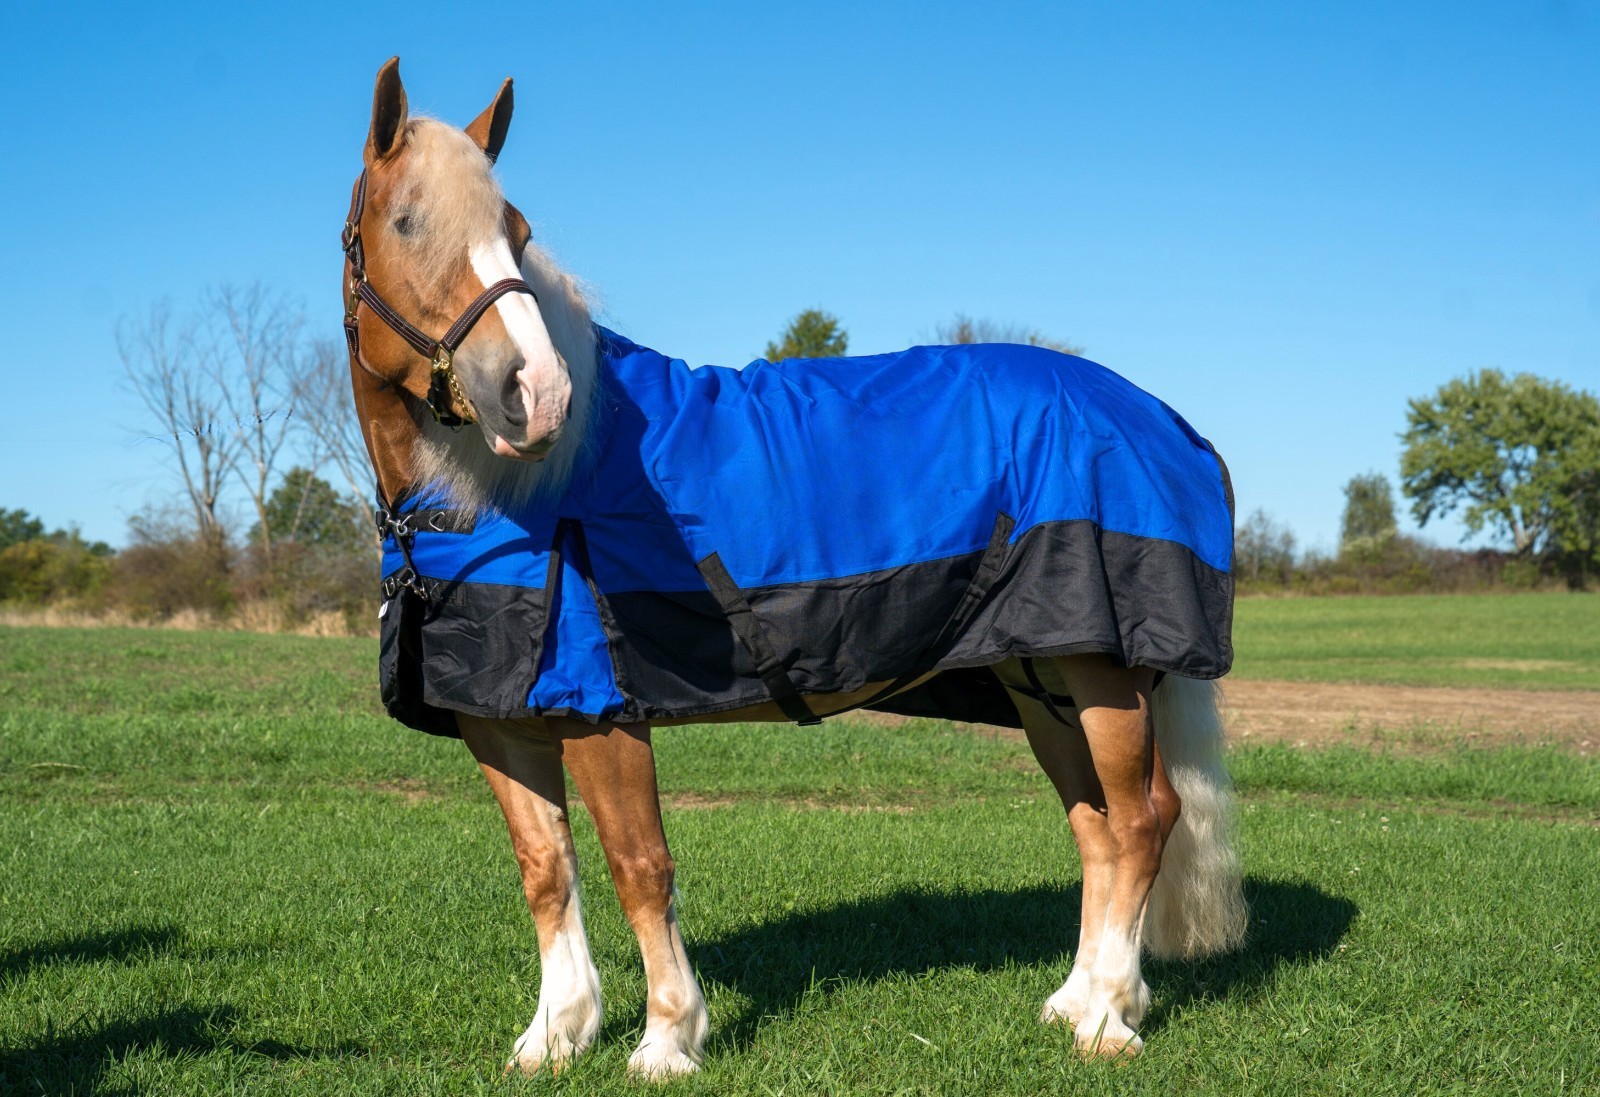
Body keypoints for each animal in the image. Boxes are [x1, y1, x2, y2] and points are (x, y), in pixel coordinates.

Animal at [339, 57, 1247, 1078]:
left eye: (520, 234)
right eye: (407, 221)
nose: (536, 393)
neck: (502, 492)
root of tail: (1162, 417)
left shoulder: (603, 709)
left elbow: (638, 863)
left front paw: (667, 1038)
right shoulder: (498, 716)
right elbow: (547, 868)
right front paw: (554, 1035)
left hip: (1101, 675)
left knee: (1140, 821)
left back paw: (1110, 1019)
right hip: (1041, 675)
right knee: (1095, 825)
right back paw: (1074, 1000)